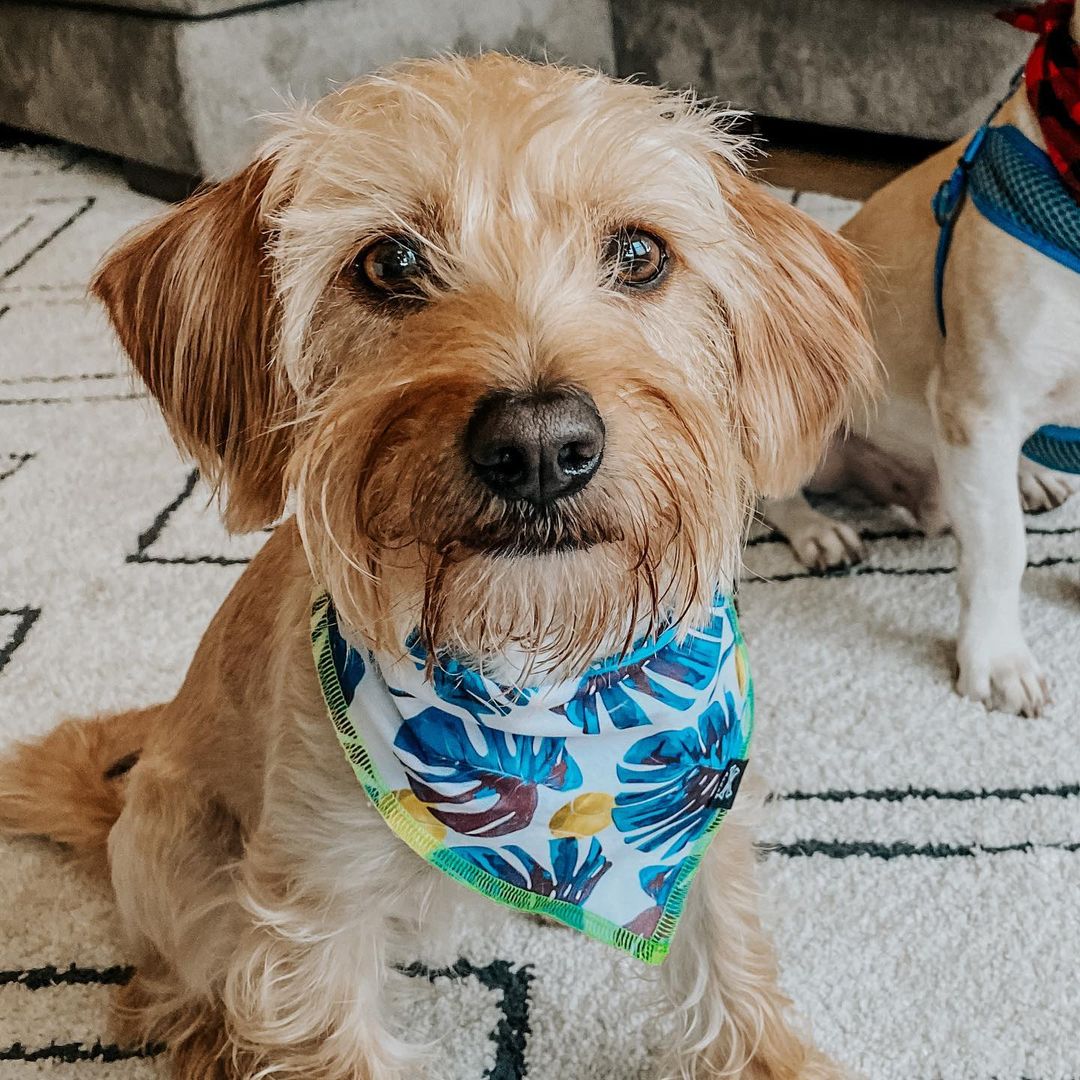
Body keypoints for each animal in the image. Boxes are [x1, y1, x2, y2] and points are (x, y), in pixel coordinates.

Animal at [0, 56, 875, 1079]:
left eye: (639, 253)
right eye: (390, 262)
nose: (539, 446)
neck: (536, 682)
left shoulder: (709, 828)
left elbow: (732, 970)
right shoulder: (312, 913)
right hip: (185, 862)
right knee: (170, 984)